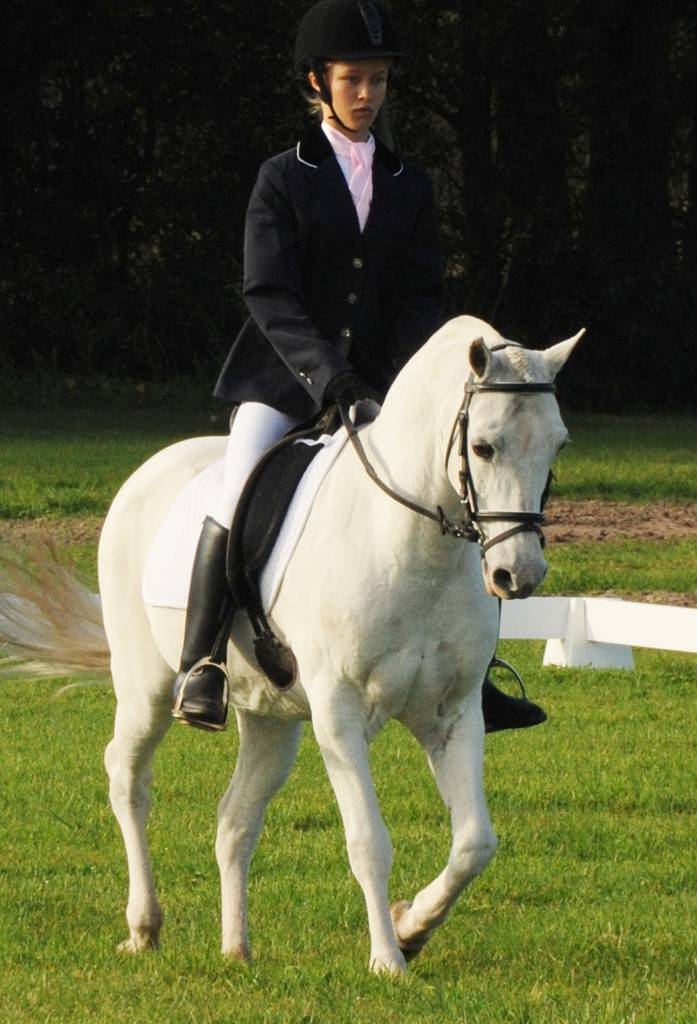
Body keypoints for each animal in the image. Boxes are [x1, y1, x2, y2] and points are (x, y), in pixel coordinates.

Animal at [1, 315, 582, 975]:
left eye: (558, 446)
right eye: (483, 446)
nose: (518, 574)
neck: (413, 544)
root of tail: (153, 469)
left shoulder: (453, 713)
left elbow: (475, 843)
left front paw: (411, 927)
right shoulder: (340, 714)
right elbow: (368, 841)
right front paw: (388, 960)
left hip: (271, 718)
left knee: (235, 818)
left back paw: (236, 948)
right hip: (147, 688)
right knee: (128, 778)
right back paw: (144, 925)